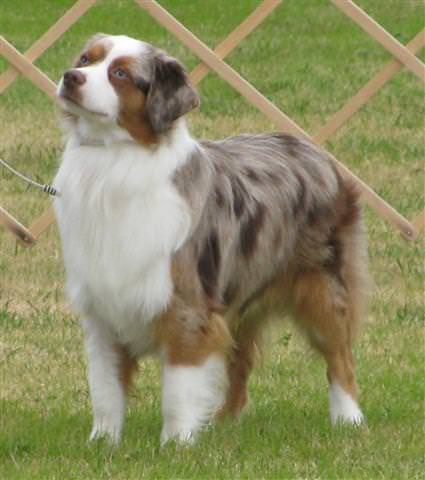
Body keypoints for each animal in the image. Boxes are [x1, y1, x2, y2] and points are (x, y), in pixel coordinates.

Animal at [53, 33, 368, 446]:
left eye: (121, 74)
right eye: (85, 60)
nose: (70, 77)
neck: (115, 161)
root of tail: (313, 150)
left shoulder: (187, 308)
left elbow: (177, 388)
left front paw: (176, 444)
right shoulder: (103, 309)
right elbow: (105, 389)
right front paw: (103, 443)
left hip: (323, 289)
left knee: (341, 359)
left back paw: (348, 420)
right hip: (242, 295)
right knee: (241, 363)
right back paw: (226, 422)